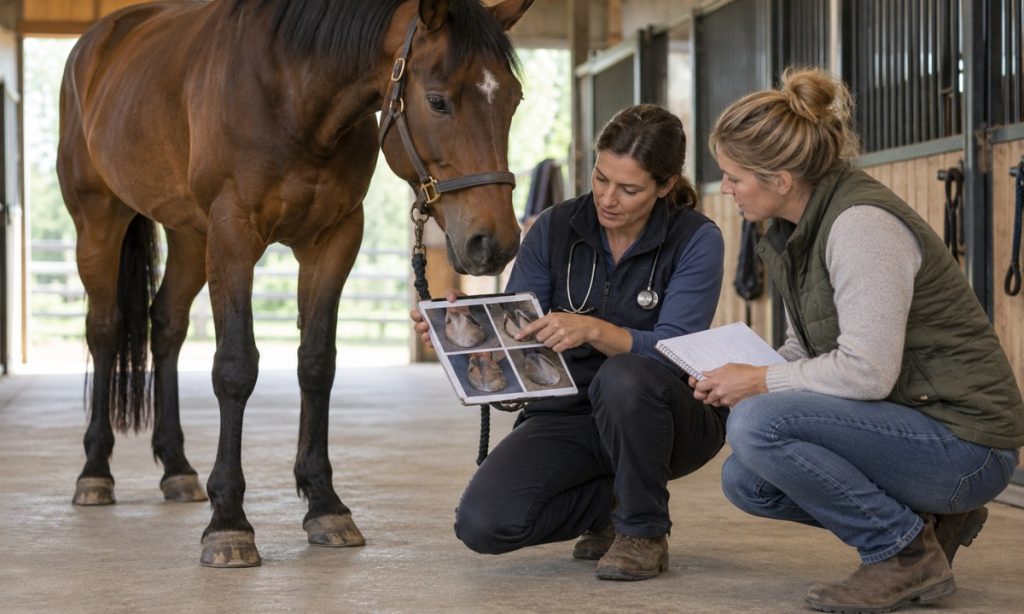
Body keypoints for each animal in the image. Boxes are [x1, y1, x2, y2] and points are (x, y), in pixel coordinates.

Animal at [56, 0, 532, 567]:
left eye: (513, 99)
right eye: (438, 101)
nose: (495, 242)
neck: (291, 90)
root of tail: (97, 42)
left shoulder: (334, 239)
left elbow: (317, 364)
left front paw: (325, 505)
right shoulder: (233, 236)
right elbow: (235, 368)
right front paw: (229, 523)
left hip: (190, 236)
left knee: (166, 327)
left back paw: (177, 468)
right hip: (99, 221)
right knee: (104, 330)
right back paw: (94, 472)